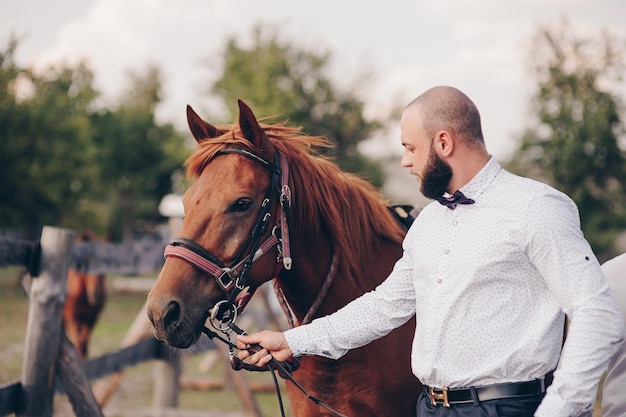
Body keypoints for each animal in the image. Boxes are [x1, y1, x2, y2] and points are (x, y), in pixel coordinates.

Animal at [62, 229, 106, 360]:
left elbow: (84, 344)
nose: (97, 294)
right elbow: (78, 344)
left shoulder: (91, 320)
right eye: (87, 263)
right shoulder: (73, 319)